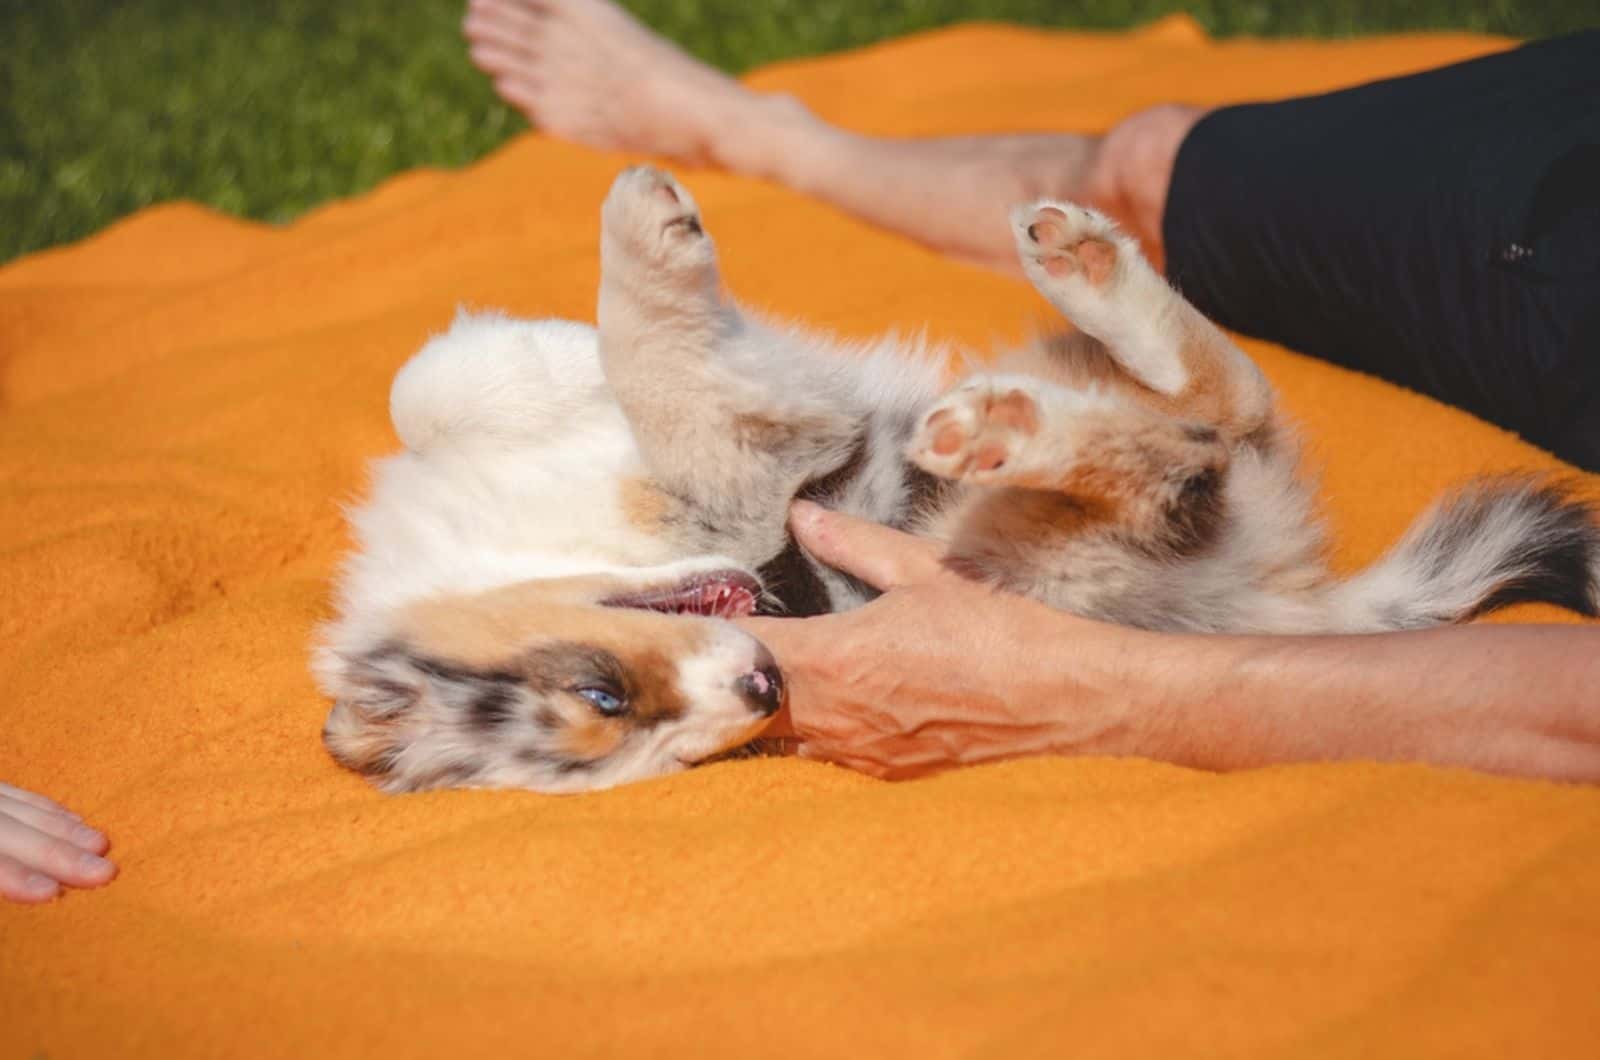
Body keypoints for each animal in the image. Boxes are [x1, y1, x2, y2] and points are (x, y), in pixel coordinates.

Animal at [315, 166, 1600, 794]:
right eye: (639, 741)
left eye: (599, 693)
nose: (766, 687)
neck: (530, 546)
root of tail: (1277, 604)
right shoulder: (755, 481)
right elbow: (672, 396)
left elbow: (442, 380)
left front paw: (588, 300)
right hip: (1068, 542)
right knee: (1188, 451)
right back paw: (1007, 423)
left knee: (1222, 402)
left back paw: (1078, 270)